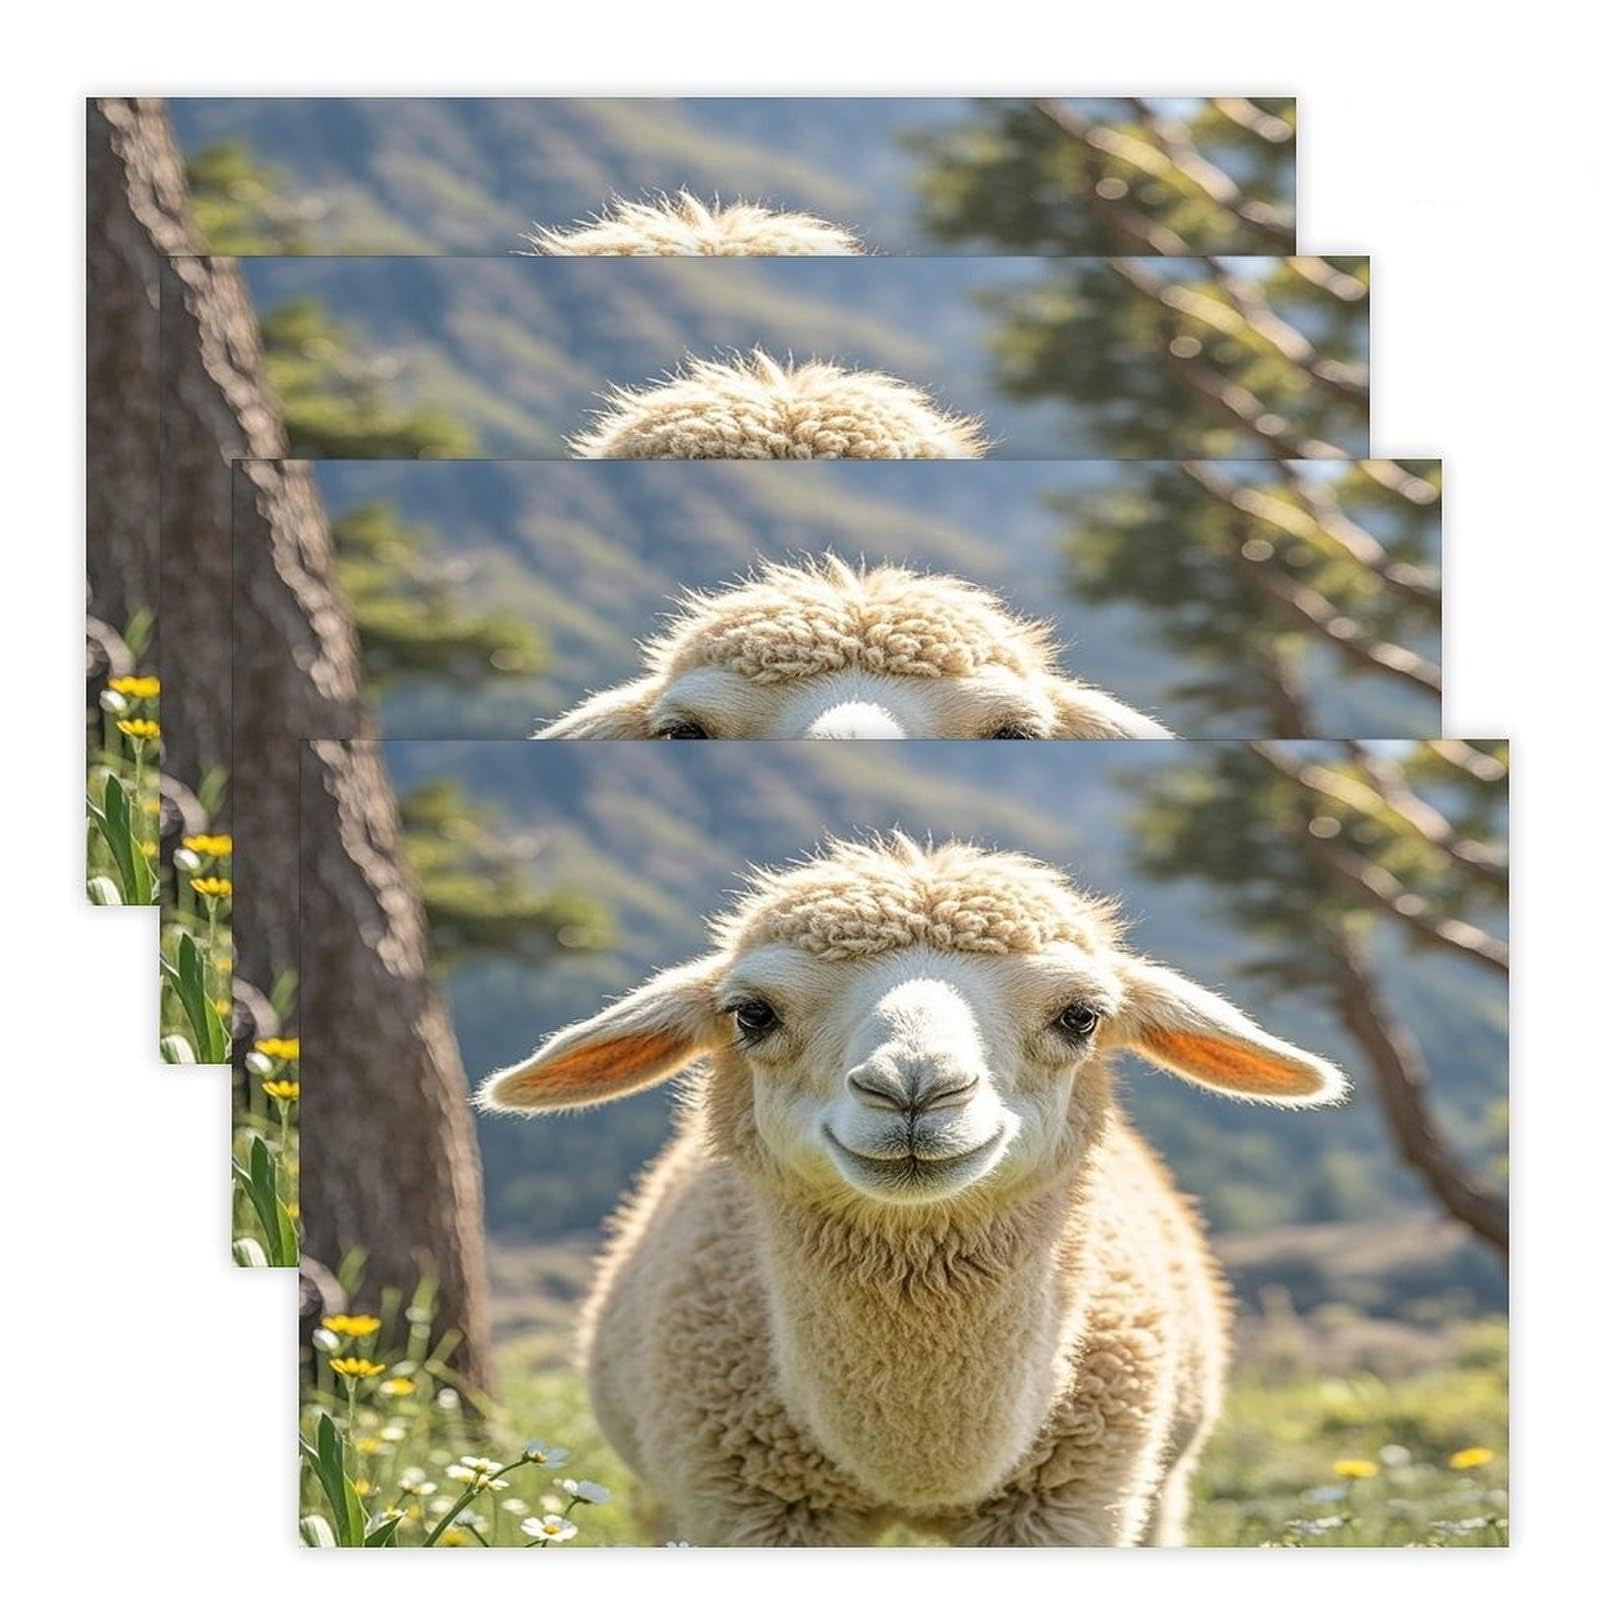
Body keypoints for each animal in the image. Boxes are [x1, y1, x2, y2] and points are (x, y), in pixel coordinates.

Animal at [480, 834, 1349, 1546]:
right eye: (752, 1015)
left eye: (1081, 1017)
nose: (914, 1090)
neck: (920, 1463)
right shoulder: (748, 1503)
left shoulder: (1068, 1502)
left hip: (1159, 1485)